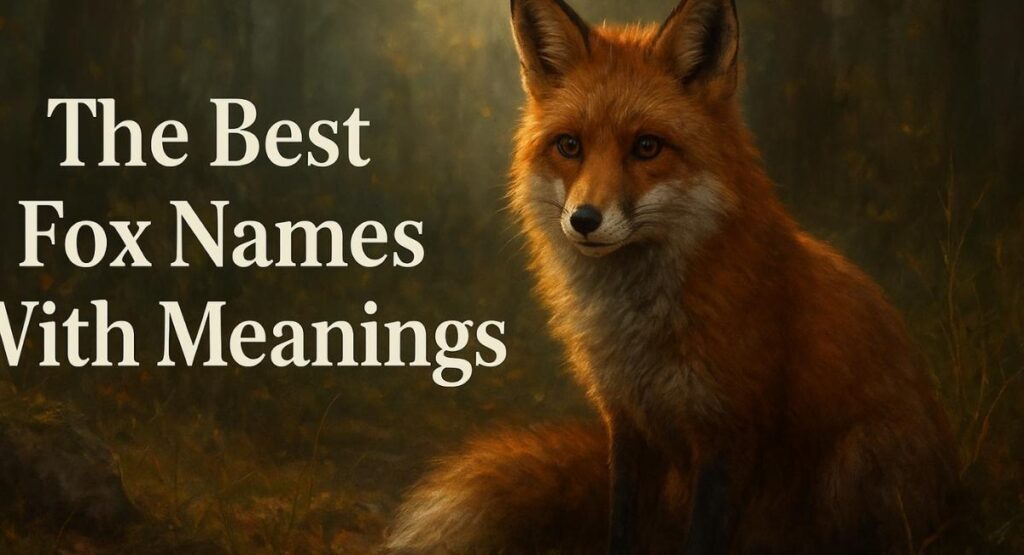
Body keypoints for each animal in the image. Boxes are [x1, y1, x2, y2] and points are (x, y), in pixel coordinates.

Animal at [388, 0, 959, 553]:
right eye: (569, 146)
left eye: (647, 147)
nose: (584, 220)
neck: (641, 330)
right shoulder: (626, 423)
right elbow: (622, 526)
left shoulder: (728, 434)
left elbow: (702, 537)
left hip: (857, 463)